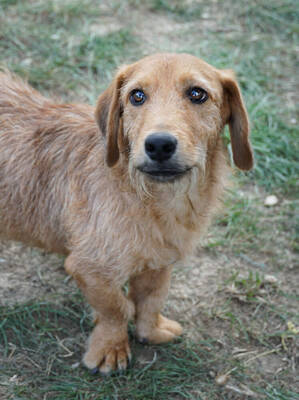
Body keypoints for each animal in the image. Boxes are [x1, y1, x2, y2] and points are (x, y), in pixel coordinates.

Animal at [0, 53, 253, 376]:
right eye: (137, 96)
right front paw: (110, 348)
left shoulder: (159, 262)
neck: (153, 198)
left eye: (198, 94)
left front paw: (151, 330)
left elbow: (151, 299)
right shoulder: (90, 269)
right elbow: (116, 308)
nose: (159, 144)